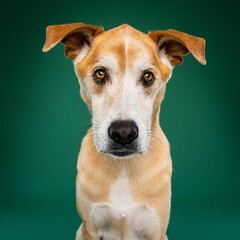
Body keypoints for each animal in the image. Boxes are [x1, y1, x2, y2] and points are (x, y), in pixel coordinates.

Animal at [42, 22, 205, 240]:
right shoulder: (90, 228)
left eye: (148, 76)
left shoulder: (156, 230)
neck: (123, 169)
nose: (123, 133)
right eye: (100, 73)